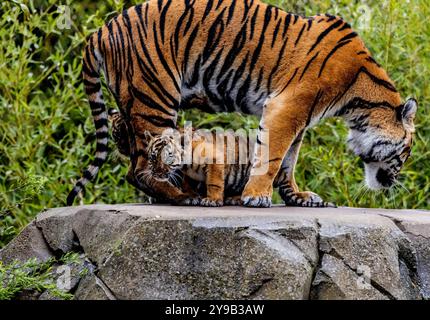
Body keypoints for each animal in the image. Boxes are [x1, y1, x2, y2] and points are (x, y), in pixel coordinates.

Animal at [66, 0, 416, 208]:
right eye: (406, 152)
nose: (394, 182)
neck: (359, 102)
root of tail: (102, 28)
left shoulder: (301, 116)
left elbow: (288, 161)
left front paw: (298, 197)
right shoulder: (287, 107)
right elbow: (272, 155)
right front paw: (256, 196)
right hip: (153, 97)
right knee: (140, 169)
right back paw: (185, 197)